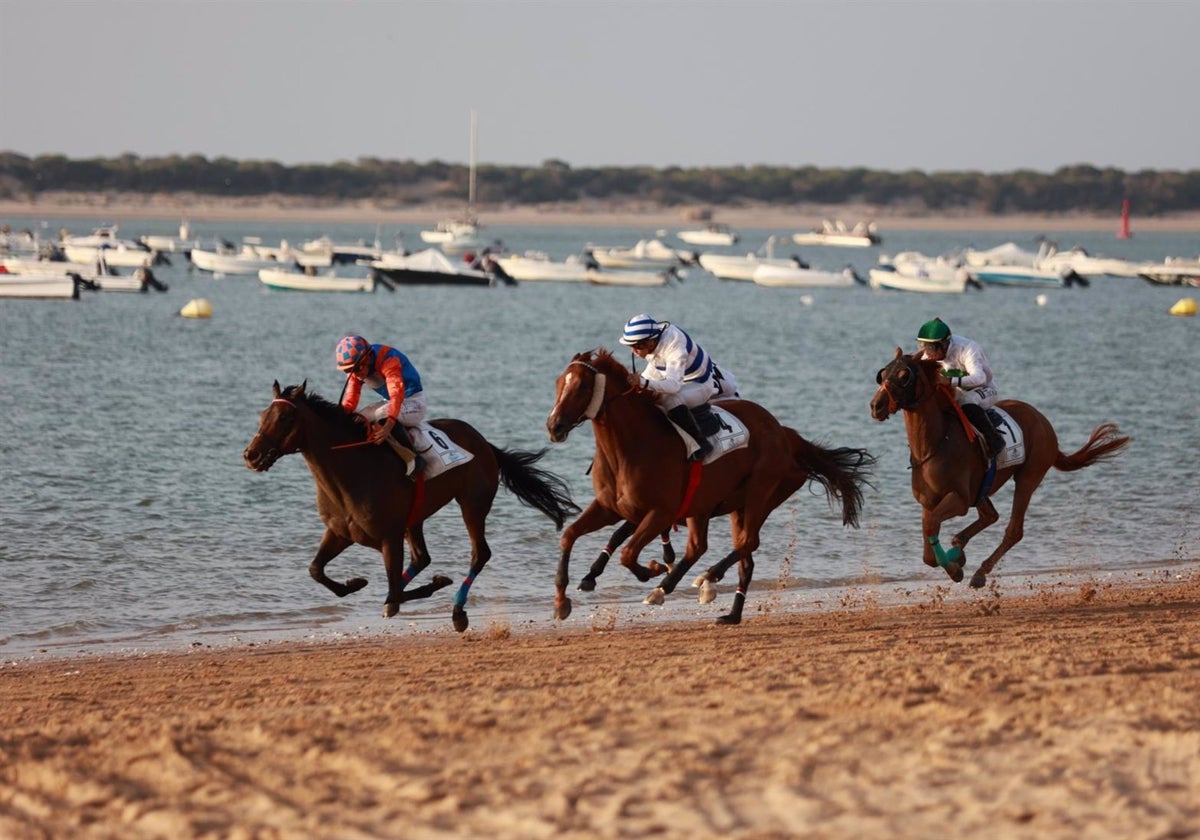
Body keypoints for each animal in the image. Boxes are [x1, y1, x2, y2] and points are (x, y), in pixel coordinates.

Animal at [241, 381, 578, 628]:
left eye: (284, 418)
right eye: (261, 416)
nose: (251, 455)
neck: (350, 471)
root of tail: (484, 443)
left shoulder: (389, 537)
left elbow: (392, 593)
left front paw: (429, 586)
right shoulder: (339, 533)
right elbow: (316, 569)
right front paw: (355, 582)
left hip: (472, 503)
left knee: (479, 553)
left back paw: (457, 611)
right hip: (417, 518)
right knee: (422, 557)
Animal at [544, 348, 873, 624]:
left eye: (582, 386)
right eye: (559, 382)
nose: (554, 425)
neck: (631, 447)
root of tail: (784, 432)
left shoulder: (661, 512)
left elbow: (627, 553)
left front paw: (651, 570)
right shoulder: (610, 507)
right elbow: (569, 536)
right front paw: (562, 601)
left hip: (760, 492)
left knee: (745, 543)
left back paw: (702, 579)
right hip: (722, 506)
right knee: (718, 551)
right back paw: (726, 611)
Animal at [868, 350, 1128, 588]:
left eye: (904, 375)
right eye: (883, 373)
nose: (876, 405)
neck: (934, 444)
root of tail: (1043, 420)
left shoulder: (959, 500)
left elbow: (932, 527)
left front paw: (955, 568)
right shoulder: (929, 502)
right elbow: (928, 548)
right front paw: (954, 560)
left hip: (1028, 476)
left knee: (1014, 529)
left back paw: (979, 573)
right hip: (983, 487)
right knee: (990, 515)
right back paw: (959, 548)